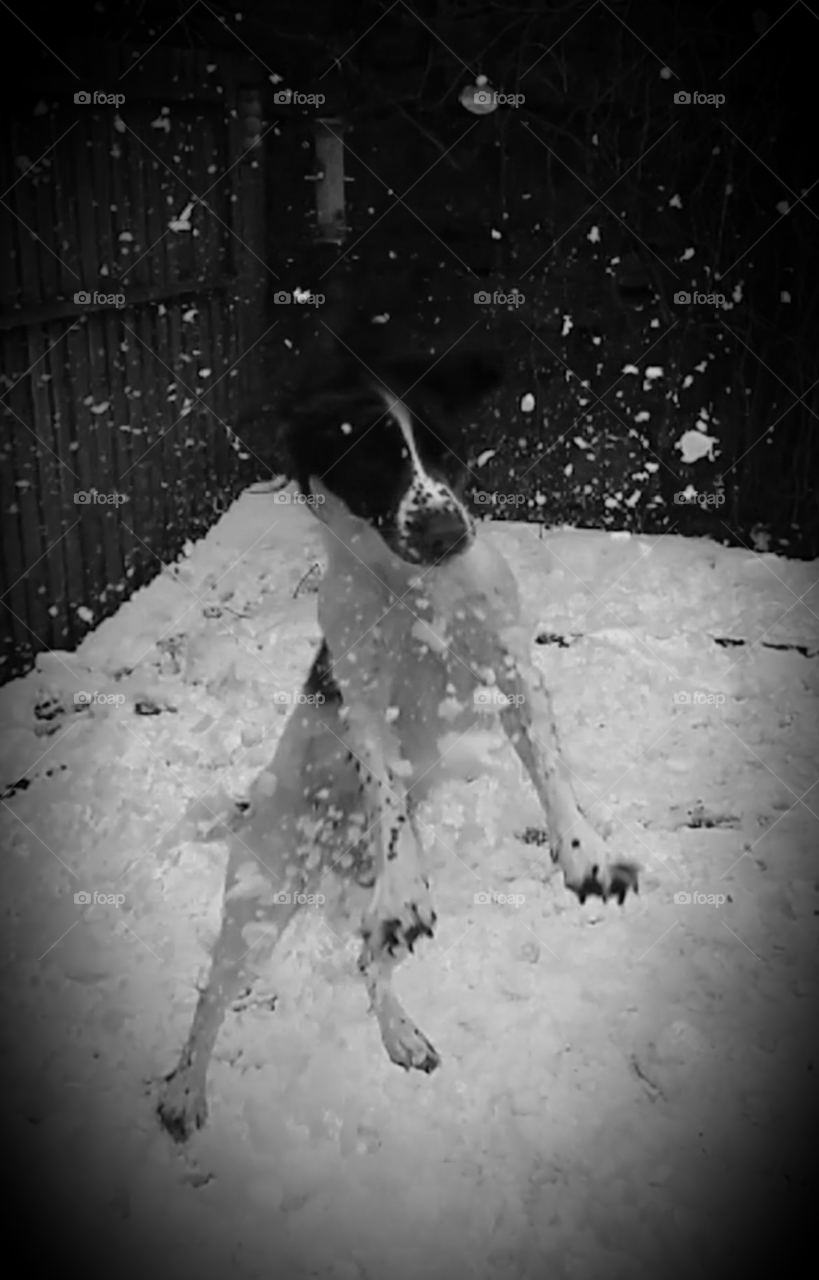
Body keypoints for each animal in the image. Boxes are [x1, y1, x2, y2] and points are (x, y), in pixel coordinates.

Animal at [154, 320, 639, 1141]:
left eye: (444, 449)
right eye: (373, 461)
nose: (445, 531)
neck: (417, 586)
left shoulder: (513, 667)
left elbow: (550, 770)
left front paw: (586, 855)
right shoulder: (364, 701)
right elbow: (388, 800)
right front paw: (407, 880)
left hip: (340, 906)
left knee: (368, 960)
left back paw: (399, 1034)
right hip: (259, 900)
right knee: (212, 998)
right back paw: (186, 1089)